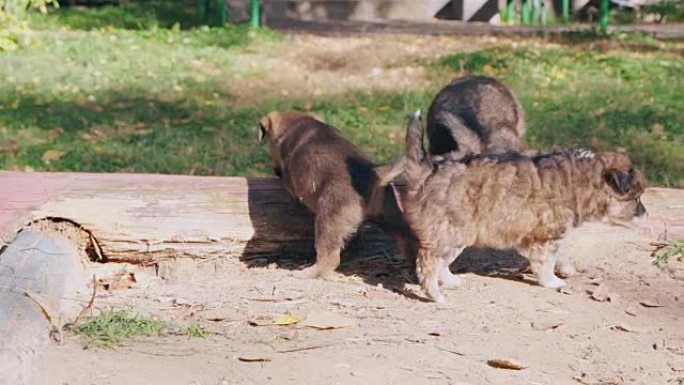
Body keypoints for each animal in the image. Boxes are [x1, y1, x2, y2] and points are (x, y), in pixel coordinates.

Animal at [260, 110, 414, 276]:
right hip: (393, 217)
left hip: (328, 219)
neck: (300, 123)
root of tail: (374, 173)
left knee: (330, 257)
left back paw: (306, 272)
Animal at [404, 109, 648, 302]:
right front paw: (552, 281)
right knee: (428, 263)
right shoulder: (547, 236)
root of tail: (428, 169)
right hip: (452, 231)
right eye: (635, 199)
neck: (581, 180)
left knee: (441, 262)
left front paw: (565, 268)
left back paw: (450, 281)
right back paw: (436, 295)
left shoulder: (534, 234)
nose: (646, 216)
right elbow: (546, 261)